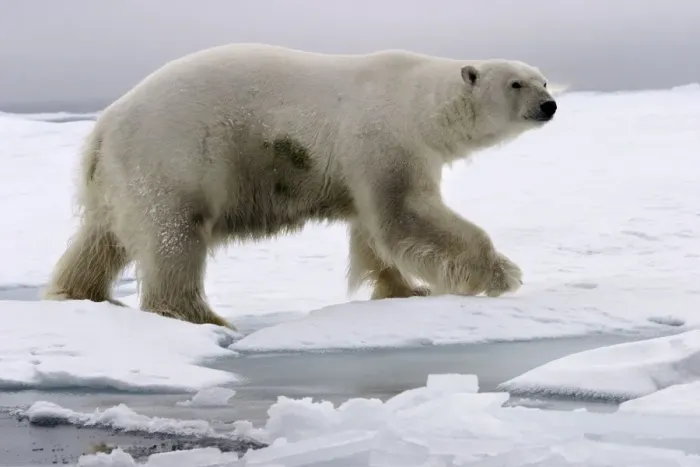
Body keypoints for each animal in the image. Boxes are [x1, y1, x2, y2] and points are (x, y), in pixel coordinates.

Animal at [42, 43, 558, 330]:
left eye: (544, 79)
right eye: (516, 84)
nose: (549, 105)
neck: (421, 103)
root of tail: (103, 125)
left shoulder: (364, 162)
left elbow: (373, 233)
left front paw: (407, 290)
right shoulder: (383, 136)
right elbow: (405, 214)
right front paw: (501, 274)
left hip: (118, 177)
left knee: (101, 238)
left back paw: (79, 291)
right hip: (173, 156)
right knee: (174, 235)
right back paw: (201, 316)